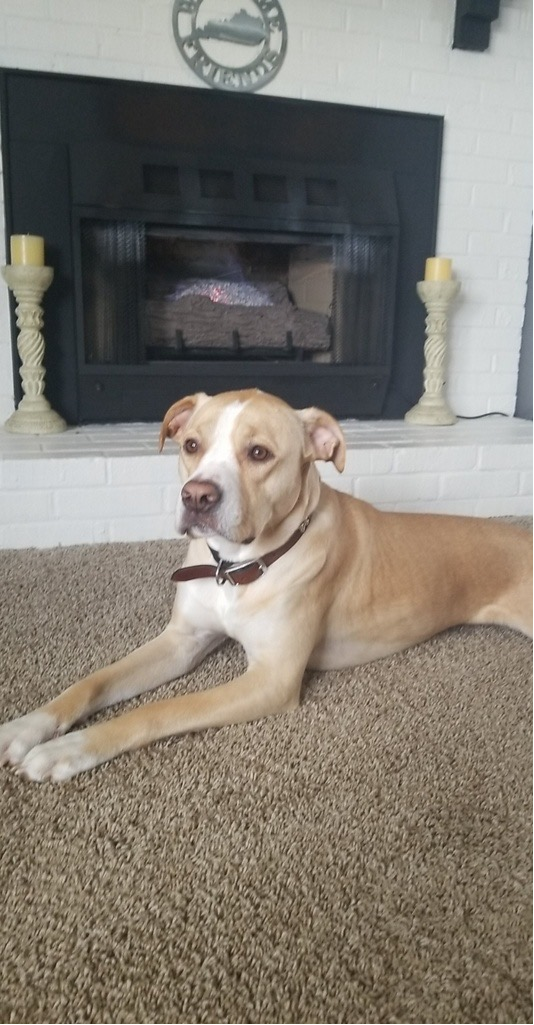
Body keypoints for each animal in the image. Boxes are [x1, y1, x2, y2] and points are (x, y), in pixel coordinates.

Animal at [1, 387, 532, 779]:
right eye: (191, 445)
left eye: (259, 453)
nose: (196, 496)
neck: (237, 567)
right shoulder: (181, 641)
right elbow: (93, 682)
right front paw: (28, 727)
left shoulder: (271, 679)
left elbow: (158, 711)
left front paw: (69, 749)